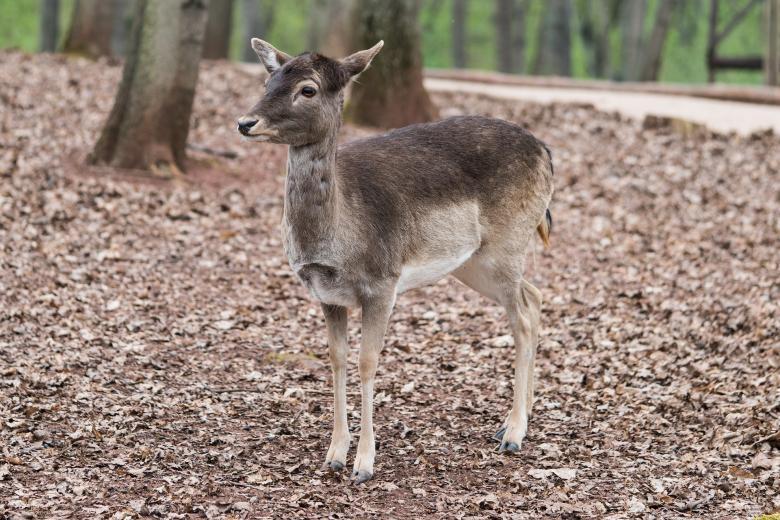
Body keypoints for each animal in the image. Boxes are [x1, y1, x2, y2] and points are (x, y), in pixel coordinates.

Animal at [237, 38, 554, 484]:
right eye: (268, 80)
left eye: (308, 89)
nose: (246, 122)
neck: (336, 237)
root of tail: (546, 151)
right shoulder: (326, 295)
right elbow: (337, 359)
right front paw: (334, 454)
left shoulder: (382, 284)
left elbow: (368, 362)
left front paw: (364, 464)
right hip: (473, 263)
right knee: (536, 295)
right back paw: (522, 415)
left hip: (507, 244)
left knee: (522, 317)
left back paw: (512, 432)